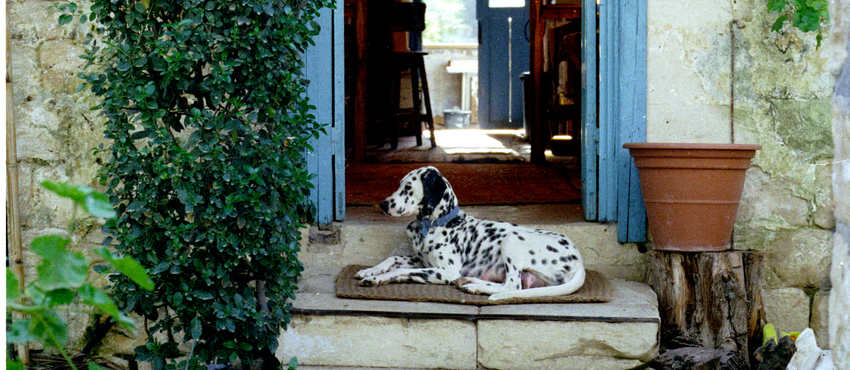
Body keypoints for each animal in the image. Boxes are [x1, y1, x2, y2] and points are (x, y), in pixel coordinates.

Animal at [352, 165, 584, 300]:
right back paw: (470, 282)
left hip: (511, 239)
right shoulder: (421, 261)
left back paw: (475, 288)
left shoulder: (445, 271)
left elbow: (400, 271)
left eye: (408, 188)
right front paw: (369, 271)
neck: (434, 224)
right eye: (399, 184)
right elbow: (392, 259)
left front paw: (377, 279)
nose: (383, 205)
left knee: (513, 286)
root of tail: (579, 261)